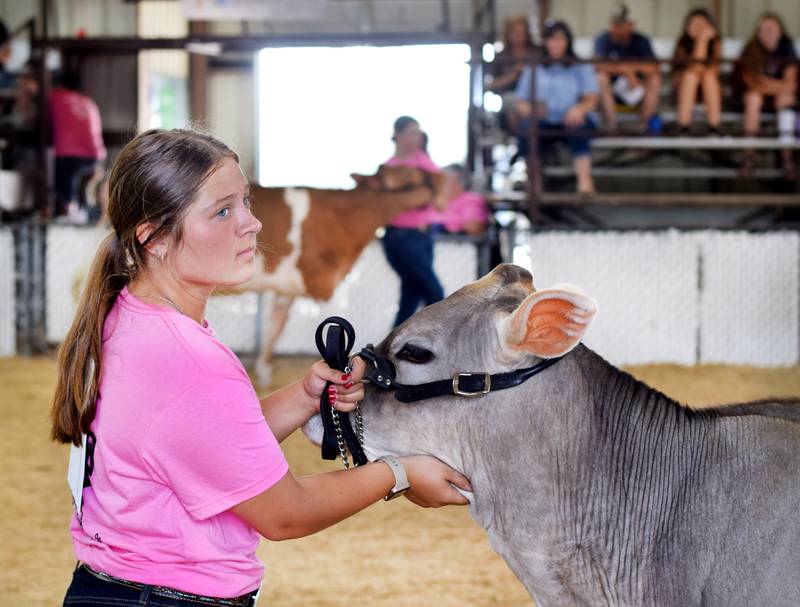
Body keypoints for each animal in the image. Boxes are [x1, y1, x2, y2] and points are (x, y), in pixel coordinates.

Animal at [233, 165, 450, 384]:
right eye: (411, 173)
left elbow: (274, 328)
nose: (441, 178)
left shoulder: (287, 290)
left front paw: (263, 372)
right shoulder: (324, 284)